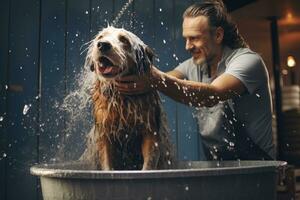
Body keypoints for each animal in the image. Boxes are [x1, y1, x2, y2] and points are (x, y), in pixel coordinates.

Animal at [79, 27, 173, 170]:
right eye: (100, 37)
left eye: (124, 40)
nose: (103, 45)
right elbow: (106, 163)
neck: (122, 98)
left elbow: (149, 163)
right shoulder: (104, 133)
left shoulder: (150, 131)